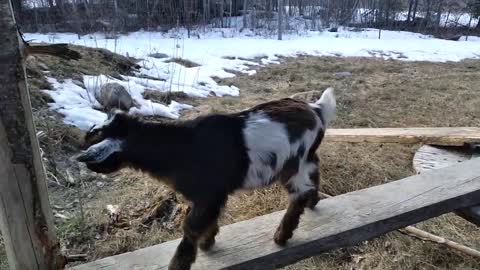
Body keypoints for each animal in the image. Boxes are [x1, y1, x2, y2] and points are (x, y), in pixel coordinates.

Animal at [76, 87, 338, 268]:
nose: (84, 158)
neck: (181, 148)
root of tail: (316, 110)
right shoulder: (211, 196)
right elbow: (207, 220)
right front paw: (208, 242)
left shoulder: (209, 194)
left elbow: (191, 227)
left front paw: (180, 263)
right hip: (307, 157)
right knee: (314, 174)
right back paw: (313, 202)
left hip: (293, 162)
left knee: (299, 193)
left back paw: (281, 236)